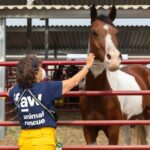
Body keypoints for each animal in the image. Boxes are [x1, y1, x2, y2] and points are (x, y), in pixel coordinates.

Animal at [80, 4, 150, 145]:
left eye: (116, 32)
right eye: (94, 32)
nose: (114, 59)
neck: (97, 93)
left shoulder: (113, 130)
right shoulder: (89, 131)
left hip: (148, 115)